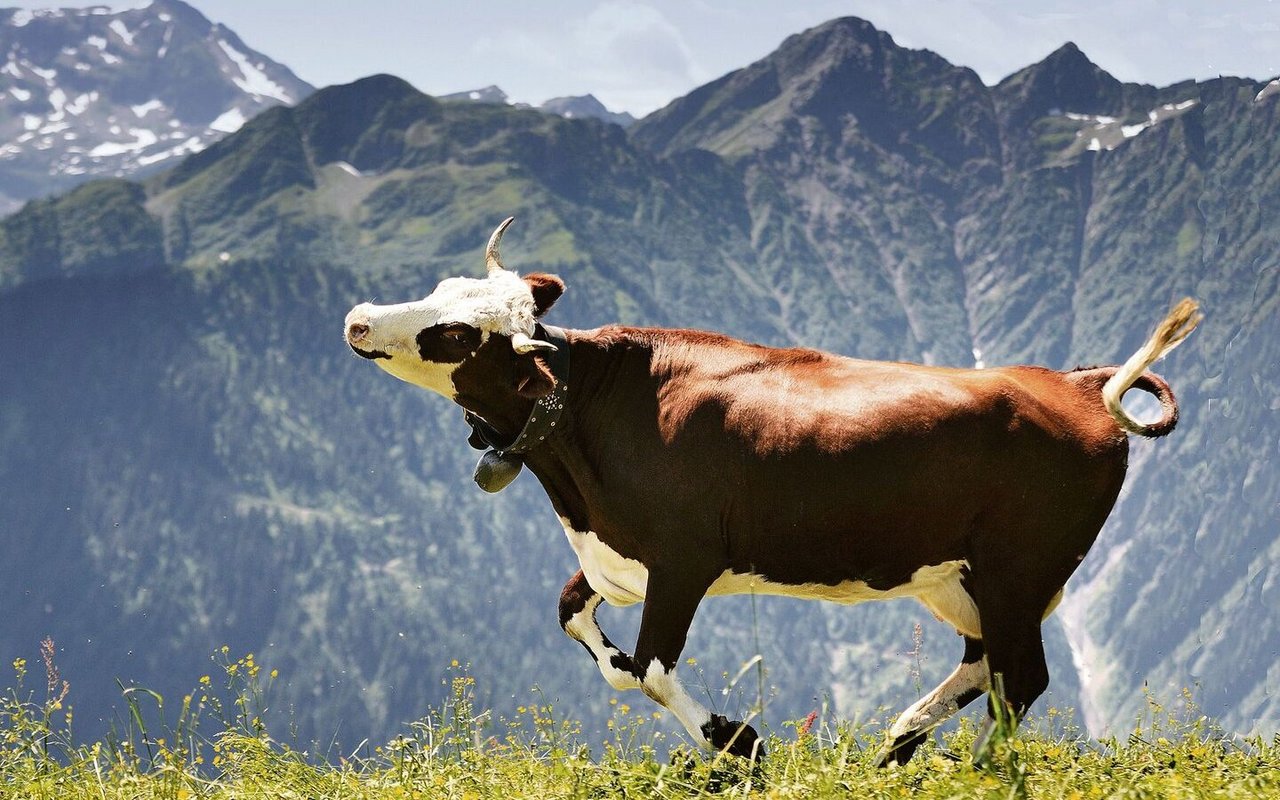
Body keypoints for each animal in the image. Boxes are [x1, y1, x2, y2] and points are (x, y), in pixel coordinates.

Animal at [343, 216, 1198, 762]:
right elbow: (585, 631)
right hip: (958, 576)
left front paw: (741, 744)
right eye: (441, 289)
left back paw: (978, 768)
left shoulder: (683, 558)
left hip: (1020, 568)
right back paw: (898, 743)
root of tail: (1077, 382)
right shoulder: (613, 558)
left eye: (456, 336)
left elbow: (652, 669)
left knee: (1021, 679)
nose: (357, 318)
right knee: (986, 663)